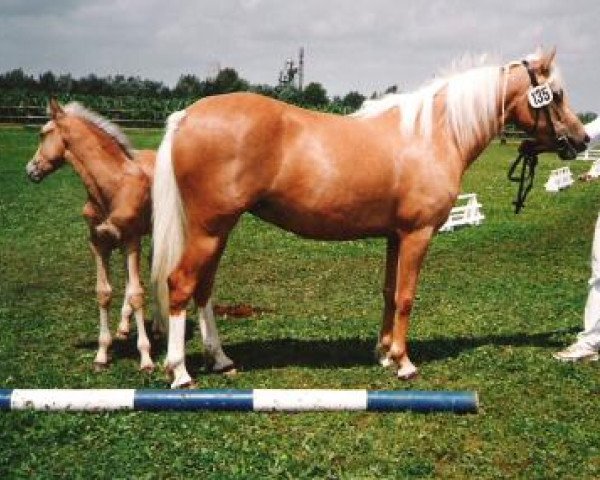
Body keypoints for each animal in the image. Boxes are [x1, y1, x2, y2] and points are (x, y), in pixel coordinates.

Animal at [27, 99, 236, 374]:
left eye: (43, 133)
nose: (30, 170)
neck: (112, 187)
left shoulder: (131, 241)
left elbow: (138, 294)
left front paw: (146, 359)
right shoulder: (99, 243)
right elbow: (104, 292)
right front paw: (101, 354)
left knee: (153, 272)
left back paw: (158, 326)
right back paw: (125, 327)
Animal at [152, 48, 588, 388]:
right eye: (557, 95)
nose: (583, 140)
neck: (433, 133)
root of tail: (186, 116)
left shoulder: (395, 235)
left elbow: (390, 292)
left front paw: (383, 354)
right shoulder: (417, 234)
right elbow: (407, 296)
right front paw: (404, 363)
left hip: (218, 230)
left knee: (204, 289)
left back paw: (221, 360)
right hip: (209, 230)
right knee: (180, 284)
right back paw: (180, 372)